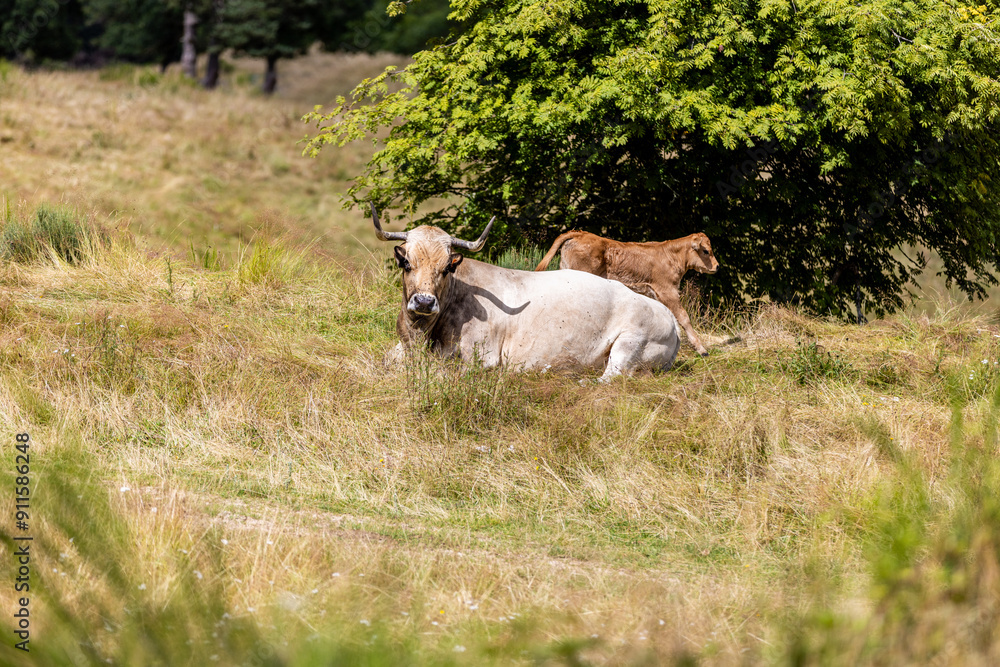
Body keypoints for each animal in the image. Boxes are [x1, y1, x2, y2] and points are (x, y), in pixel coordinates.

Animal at [372, 205, 680, 382]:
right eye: (406, 263)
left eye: (447, 267)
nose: (424, 301)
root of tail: (671, 319)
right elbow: (386, 361)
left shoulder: (482, 359)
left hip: (630, 344)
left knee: (610, 378)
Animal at [534, 230, 719, 356]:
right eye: (706, 251)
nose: (717, 266)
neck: (672, 257)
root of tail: (581, 234)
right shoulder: (668, 291)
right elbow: (683, 317)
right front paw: (701, 349)